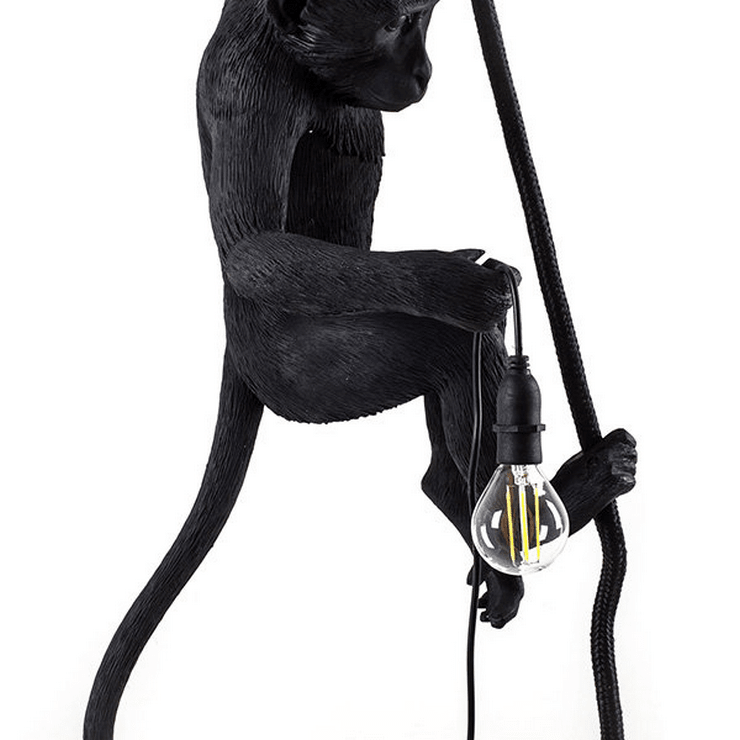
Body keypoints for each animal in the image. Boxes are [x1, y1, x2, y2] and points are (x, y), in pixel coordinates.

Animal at [84, 1, 637, 737]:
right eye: (398, 24)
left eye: (425, 20)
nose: (425, 69)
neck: (297, 64)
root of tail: (237, 347)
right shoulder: (248, 88)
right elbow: (254, 248)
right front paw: (456, 278)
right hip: (307, 375)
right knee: (446, 347)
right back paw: (555, 510)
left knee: (452, 414)